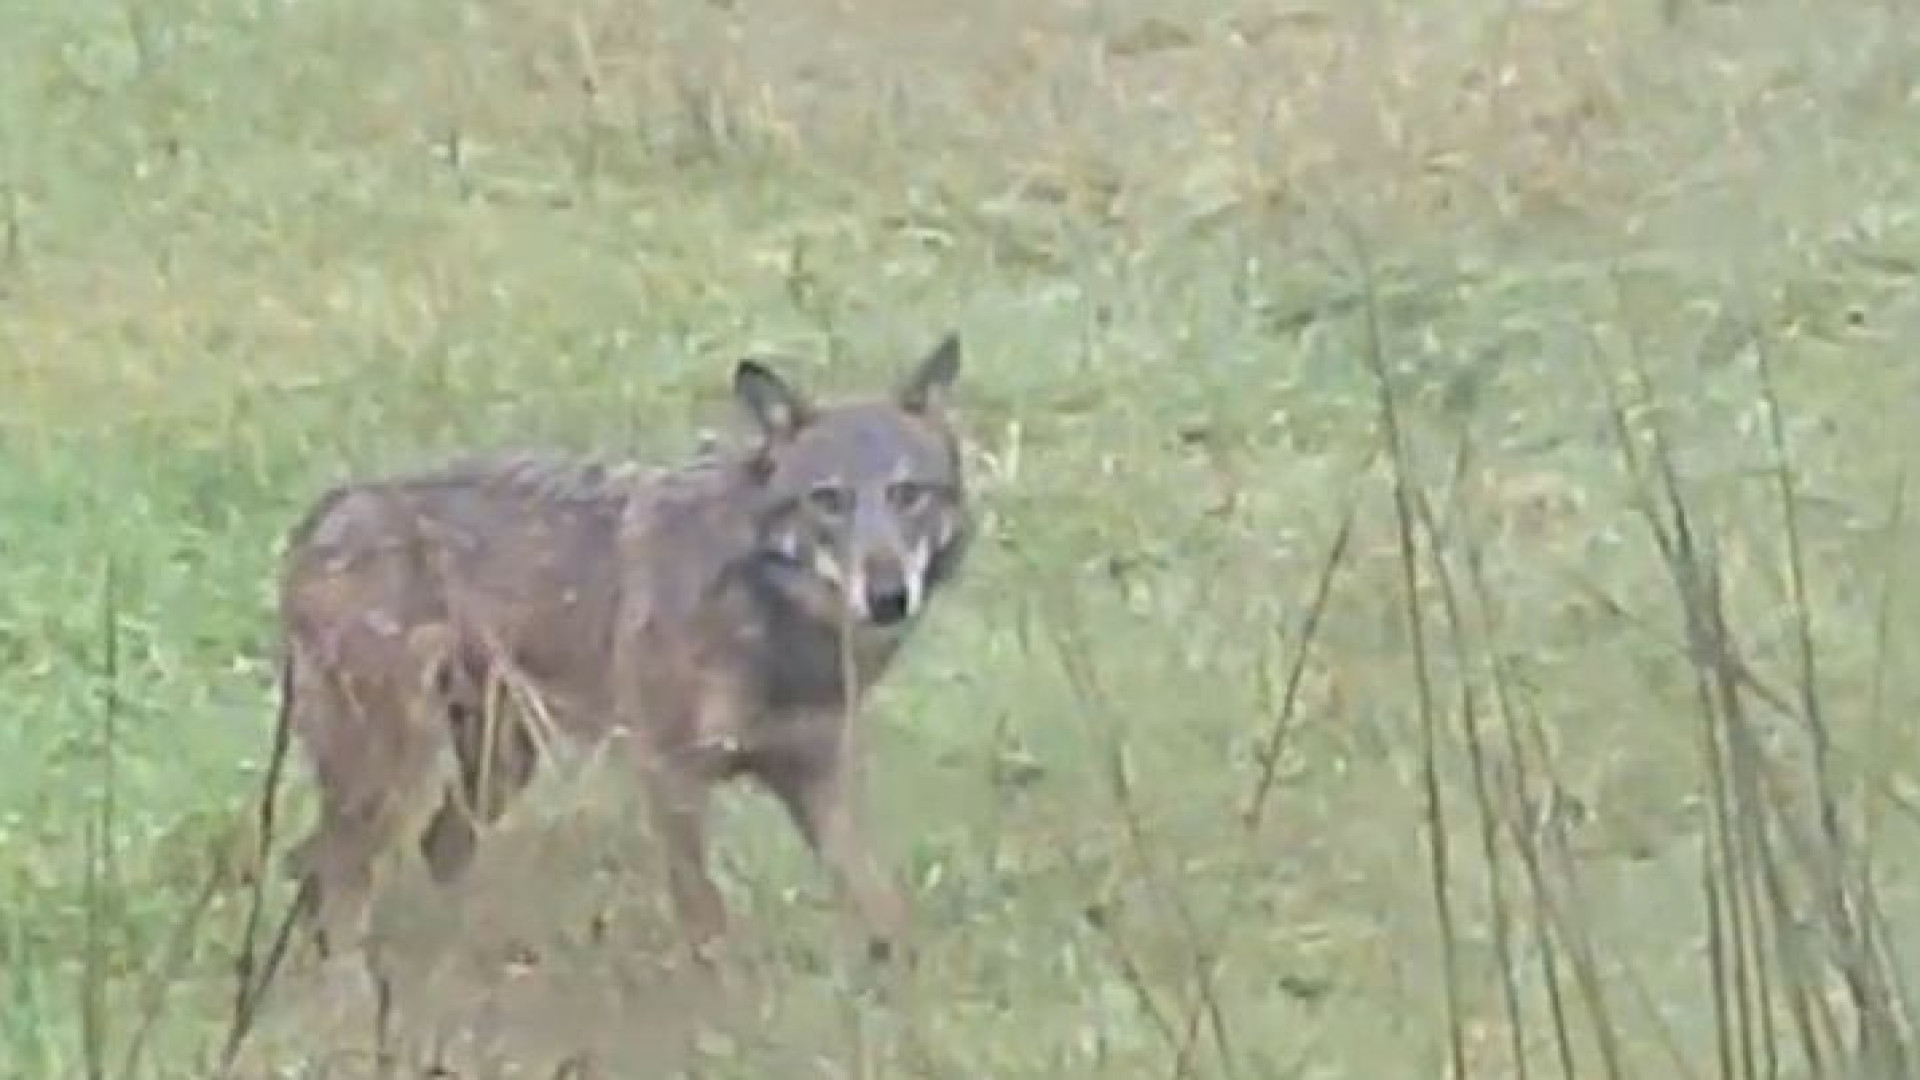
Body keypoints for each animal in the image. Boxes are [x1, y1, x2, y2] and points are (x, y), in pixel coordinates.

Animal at [274, 334, 973, 969]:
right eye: (828, 499)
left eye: (909, 494)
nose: (888, 596)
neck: (776, 625)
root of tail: (322, 512)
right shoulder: (672, 775)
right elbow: (707, 925)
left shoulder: (819, 778)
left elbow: (884, 909)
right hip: (394, 777)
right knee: (331, 877)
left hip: (498, 768)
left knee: (408, 855)